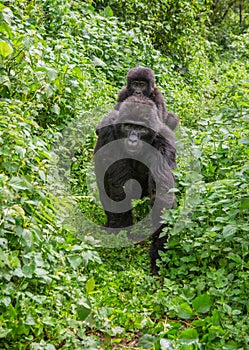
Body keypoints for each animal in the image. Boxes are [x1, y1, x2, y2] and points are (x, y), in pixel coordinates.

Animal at [94, 97, 176, 274]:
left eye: (140, 128)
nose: (132, 139)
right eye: (128, 126)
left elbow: (162, 195)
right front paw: (121, 238)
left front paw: (157, 253)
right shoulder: (107, 132)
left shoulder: (165, 140)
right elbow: (119, 188)